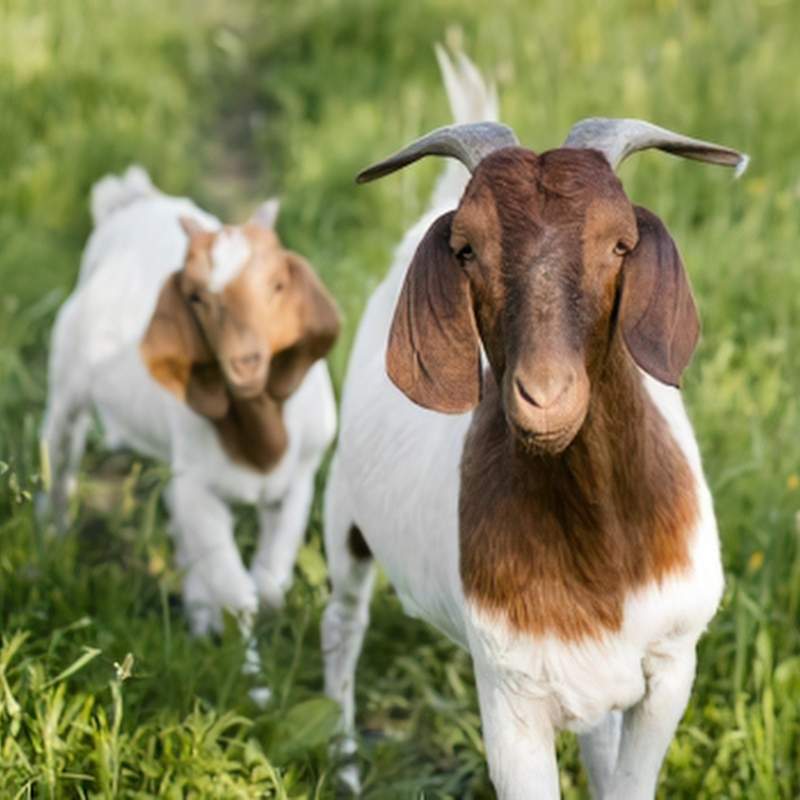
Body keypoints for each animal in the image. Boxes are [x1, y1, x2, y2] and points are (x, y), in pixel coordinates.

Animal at [42, 167, 340, 640]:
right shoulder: (198, 486)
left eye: (277, 284)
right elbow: (238, 594)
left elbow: (270, 584)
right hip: (66, 385)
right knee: (58, 459)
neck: (259, 442)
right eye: (196, 296)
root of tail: (131, 200)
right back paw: (49, 543)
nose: (245, 362)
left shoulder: (300, 479)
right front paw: (237, 647)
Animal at [322, 46, 746, 798]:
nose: (543, 396)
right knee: (341, 625)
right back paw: (344, 764)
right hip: (345, 520)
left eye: (620, 244)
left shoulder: (672, 665)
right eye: (467, 248)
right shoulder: (510, 696)